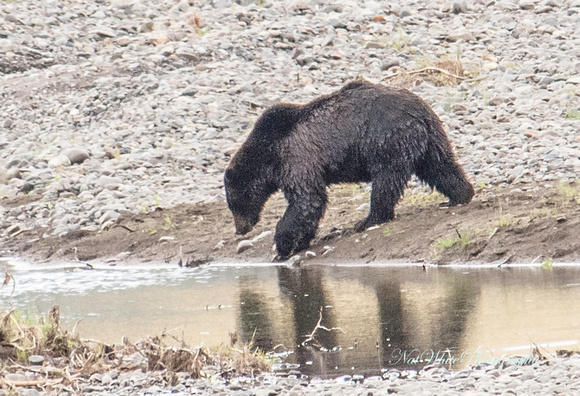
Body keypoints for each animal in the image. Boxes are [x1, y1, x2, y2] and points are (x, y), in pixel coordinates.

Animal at [224, 81, 474, 260]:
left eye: (234, 203)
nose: (240, 229)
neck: (270, 155)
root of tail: (420, 110)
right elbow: (308, 206)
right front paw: (300, 242)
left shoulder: (297, 157)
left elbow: (306, 200)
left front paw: (282, 245)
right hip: (431, 137)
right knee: (441, 166)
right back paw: (459, 195)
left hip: (385, 139)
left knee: (386, 181)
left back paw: (368, 219)